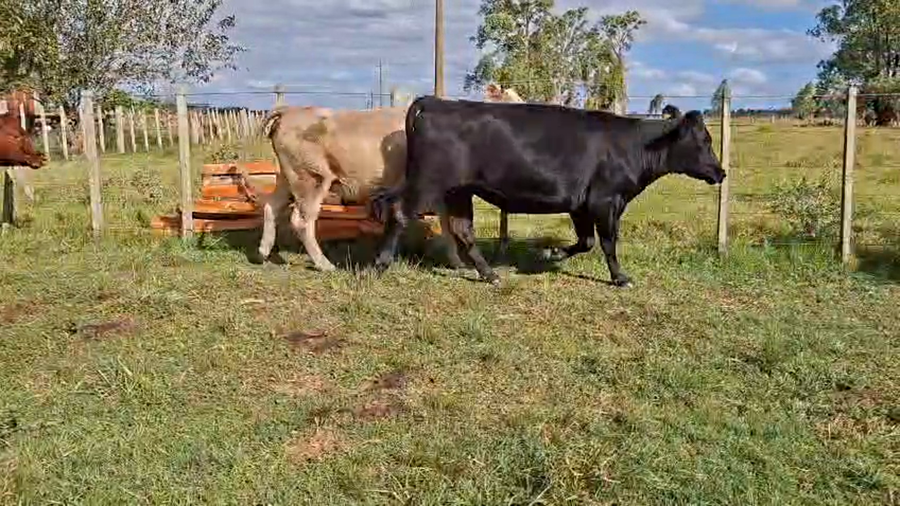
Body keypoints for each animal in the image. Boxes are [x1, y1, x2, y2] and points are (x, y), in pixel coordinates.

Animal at [369, 96, 726, 287]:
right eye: (704, 140)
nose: (721, 172)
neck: (633, 146)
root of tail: (435, 101)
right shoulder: (606, 200)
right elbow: (608, 243)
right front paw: (620, 277)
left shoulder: (581, 204)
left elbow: (587, 241)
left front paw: (550, 253)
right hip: (427, 182)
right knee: (398, 209)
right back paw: (381, 264)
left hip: (459, 190)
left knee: (462, 229)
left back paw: (489, 275)